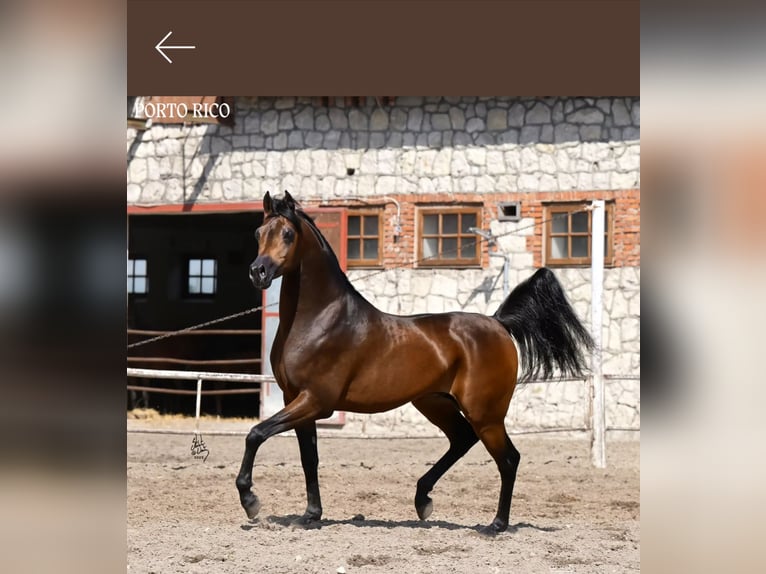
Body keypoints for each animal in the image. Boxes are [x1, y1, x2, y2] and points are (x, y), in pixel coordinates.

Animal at [236, 191, 594, 535]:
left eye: (287, 233)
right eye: (257, 233)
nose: (257, 272)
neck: (320, 319)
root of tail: (498, 323)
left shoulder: (315, 401)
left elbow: (256, 433)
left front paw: (251, 501)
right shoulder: (296, 399)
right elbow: (309, 458)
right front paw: (310, 515)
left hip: (486, 414)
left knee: (508, 459)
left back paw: (495, 525)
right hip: (435, 402)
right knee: (463, 440)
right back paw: (423, 500)